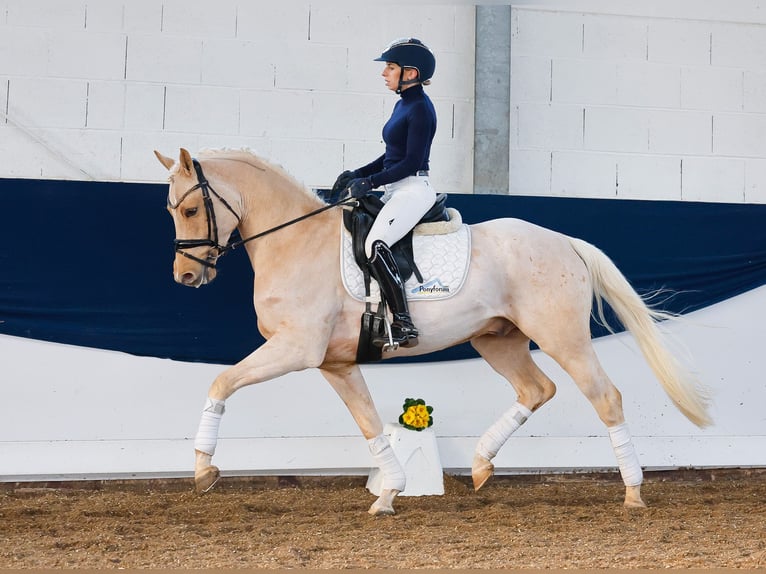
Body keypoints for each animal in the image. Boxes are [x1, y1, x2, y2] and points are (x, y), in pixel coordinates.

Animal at [156, 147, 712, 516]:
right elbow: (369, 424)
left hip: (563, 339)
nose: (184, 277)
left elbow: (221, 381)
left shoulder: (295, 348)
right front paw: (389, 492)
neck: (296, 241)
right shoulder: (335, 363)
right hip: (497, 338)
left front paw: (203, 469)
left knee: (606, 397)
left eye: (190, 209)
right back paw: (482, 465)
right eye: (171, 210)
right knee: (537, 388)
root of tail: (564, 241)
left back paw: (633, 493)